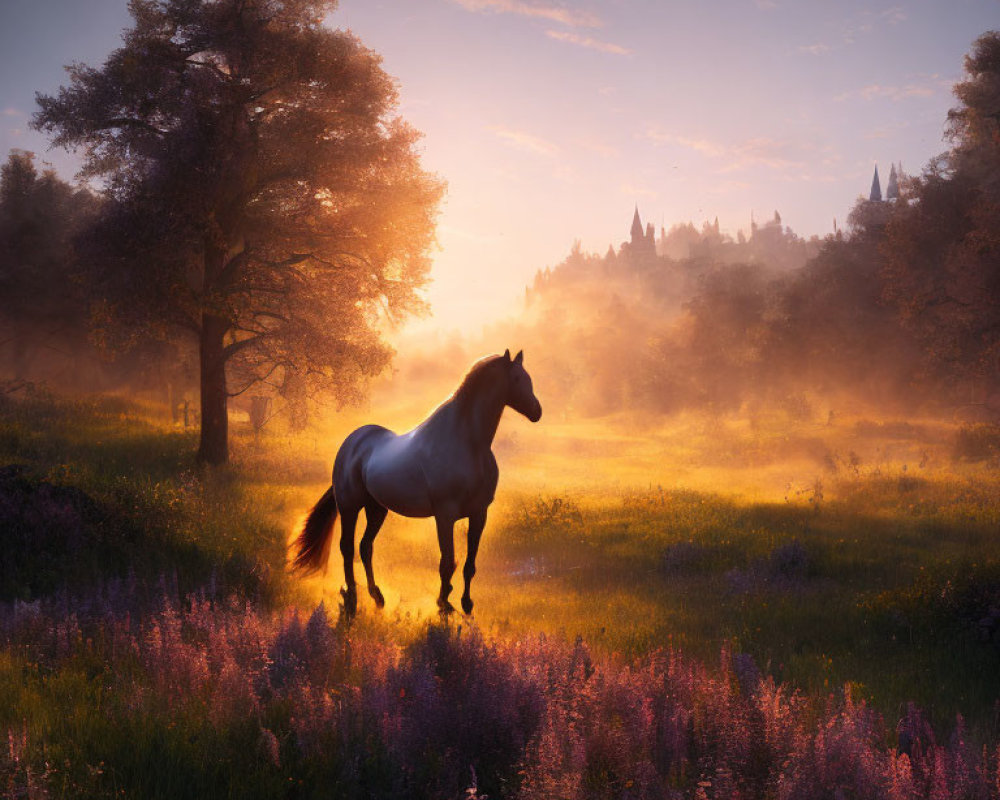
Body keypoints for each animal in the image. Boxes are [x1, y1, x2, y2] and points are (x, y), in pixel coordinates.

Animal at [292, 346, 544, 616]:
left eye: (528, 377)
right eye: (516, 379)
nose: (537, 411)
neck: (468, 444)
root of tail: (352, 443)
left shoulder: (479, 513)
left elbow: (469, 563)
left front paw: (466, 603)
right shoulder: (445, 515)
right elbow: (447, 562)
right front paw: (444, 604)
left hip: (376, 509)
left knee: (365, 546)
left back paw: (377, 596)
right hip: (350, 506)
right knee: (347, 547)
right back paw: (351, 595)